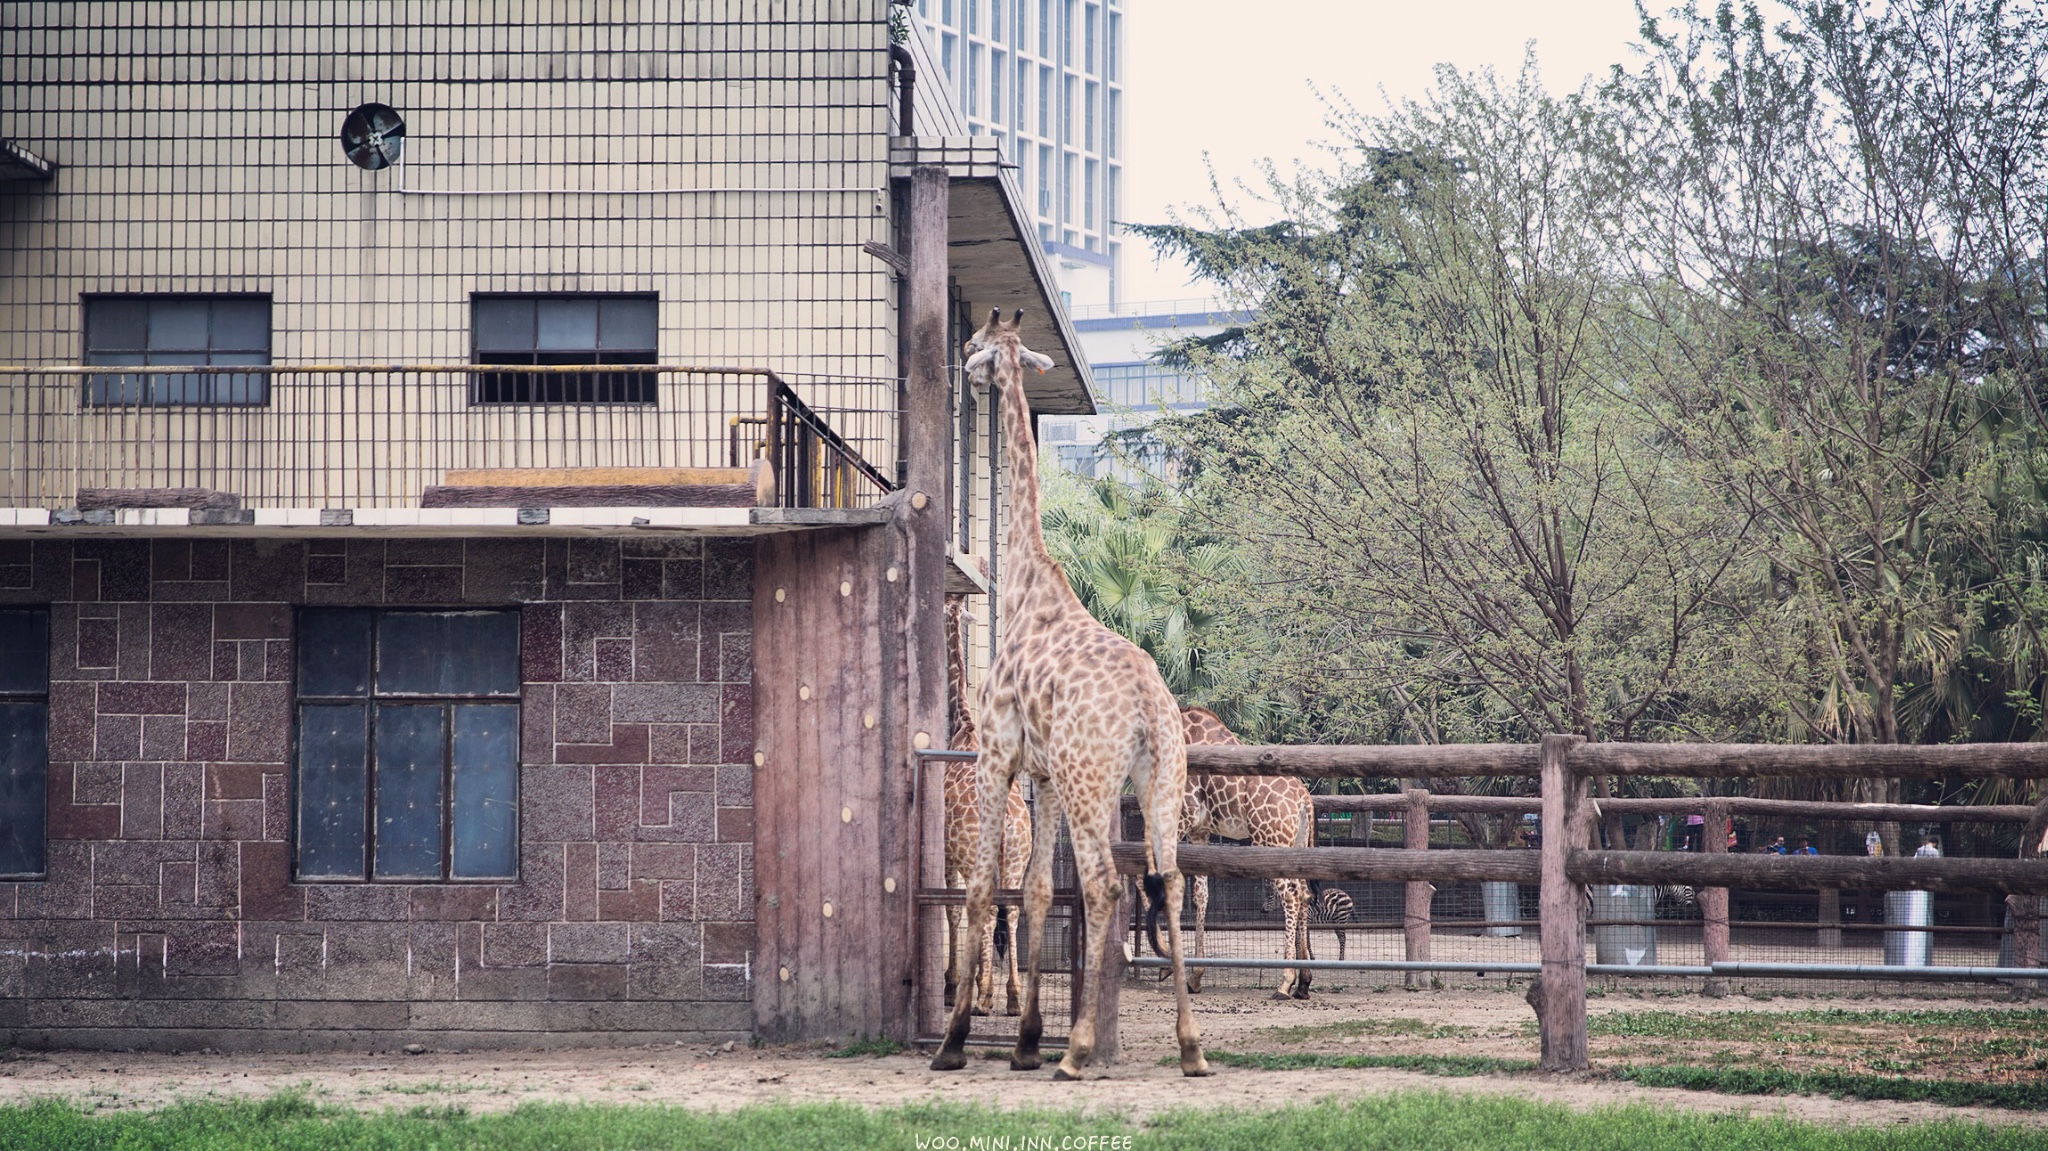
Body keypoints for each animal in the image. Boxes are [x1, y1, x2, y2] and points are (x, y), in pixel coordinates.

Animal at [925, 307, 1196, 1073]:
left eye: (978, 346)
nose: (962, 363)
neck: (1024, 587)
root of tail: (1148, 706)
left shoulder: (996, 758)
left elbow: (985, 891)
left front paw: (956, 1041)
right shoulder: (1040, 775)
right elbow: (1040, 892)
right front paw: (1022, 1042)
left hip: (1090, 778)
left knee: (1106, 883)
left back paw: (1077, 1050)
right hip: (1159, 777)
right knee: (1168, 879)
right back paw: (1190, 1046)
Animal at [1187, 700, 1310, 995]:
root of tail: (1304, 800)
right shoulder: (1199, 831)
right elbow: (1201, 895)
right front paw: (1194, 975)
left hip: (1273, 841)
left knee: (1291, 895)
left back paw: (1285, 982)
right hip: (1296, 842)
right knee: (1304, 893)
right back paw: (1304, 981)